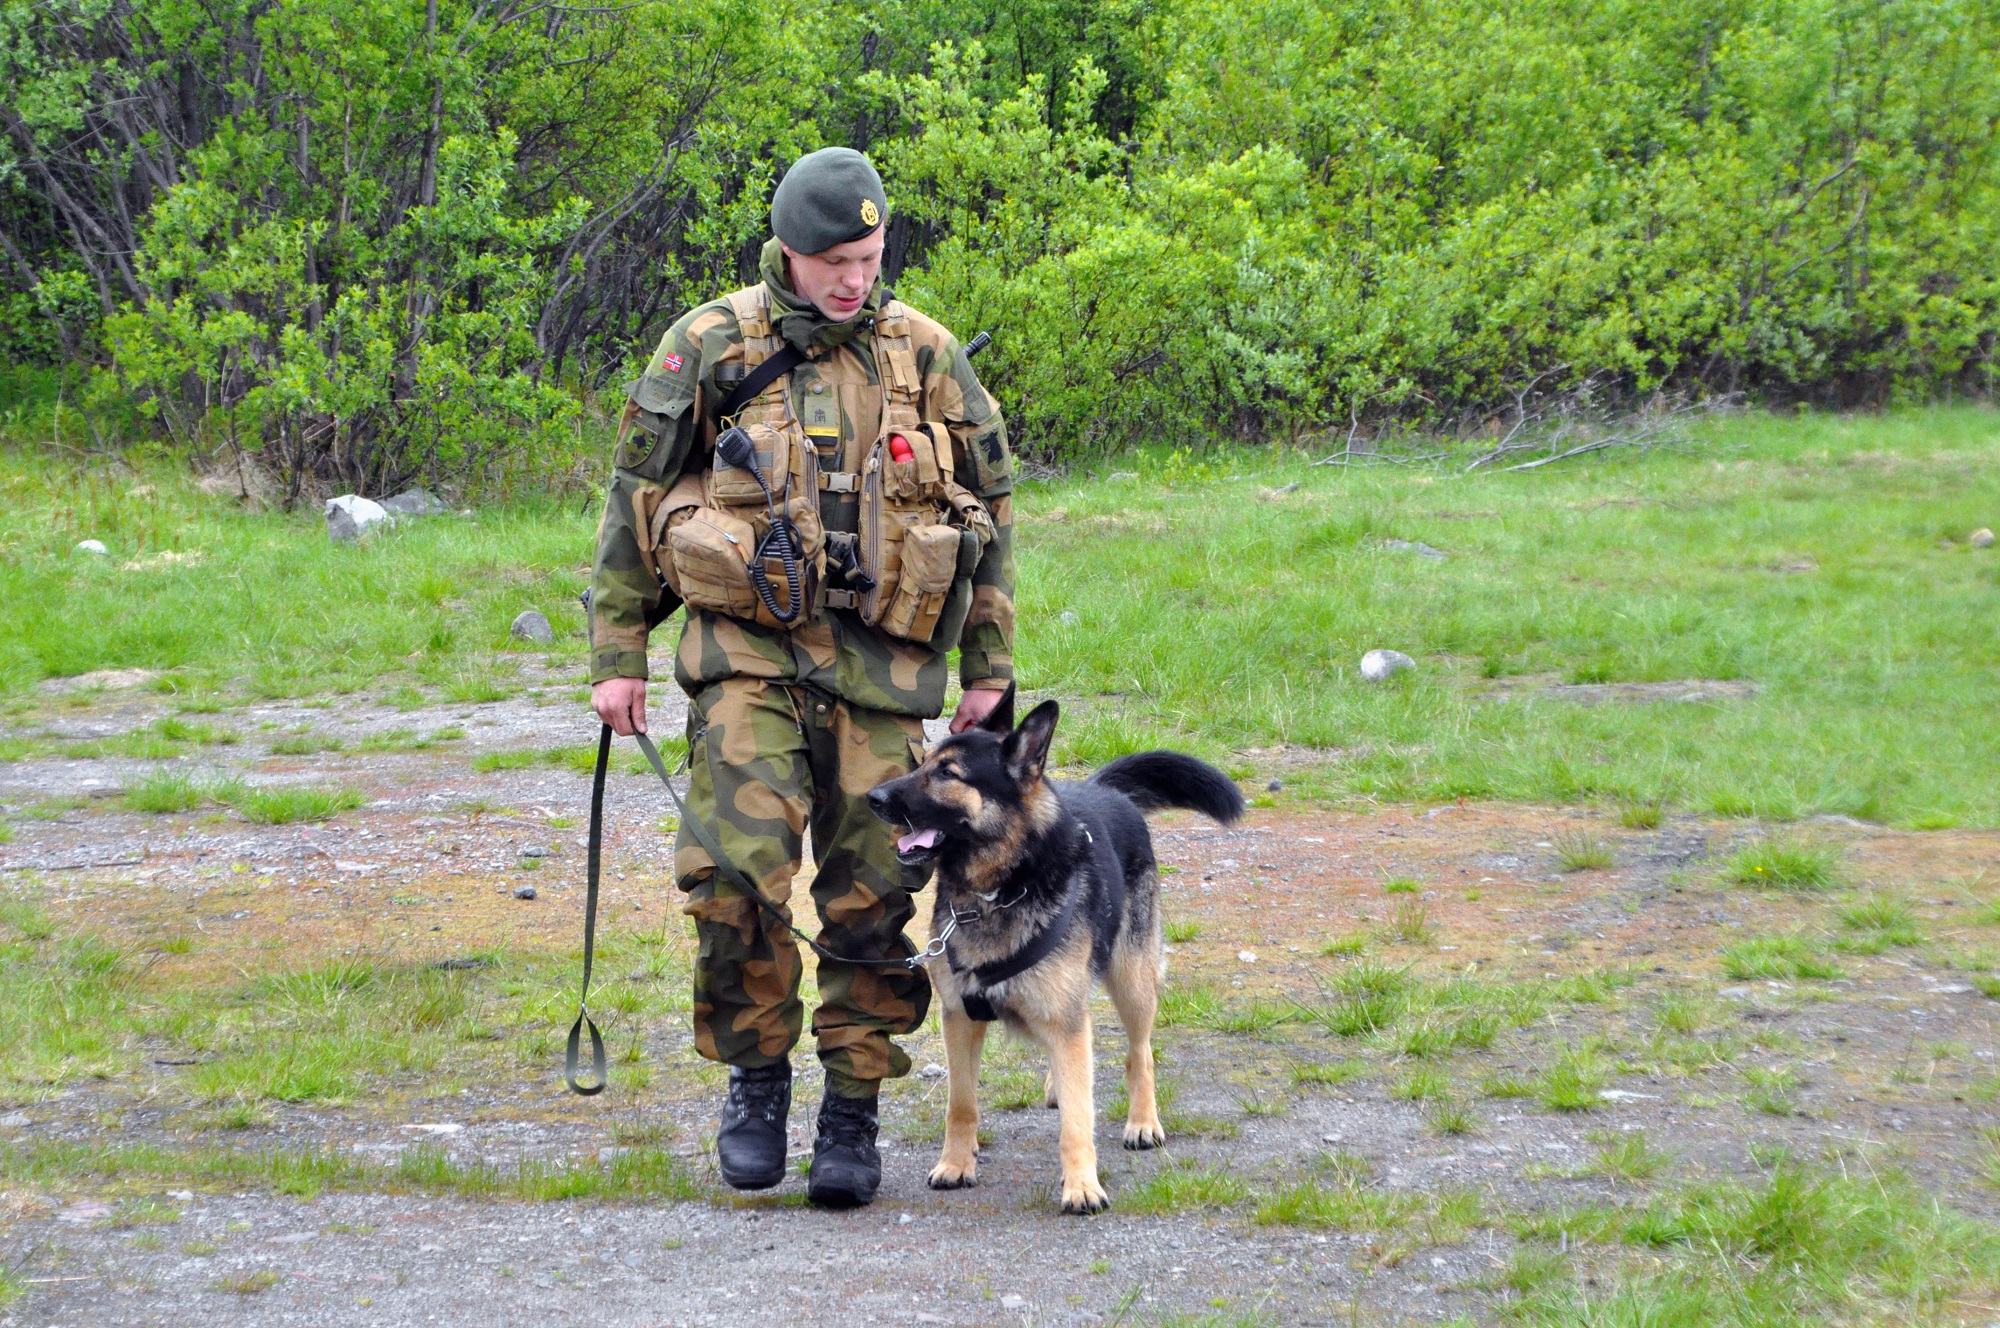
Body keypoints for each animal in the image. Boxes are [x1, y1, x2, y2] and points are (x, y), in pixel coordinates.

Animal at [868, 684, 1240, 1216]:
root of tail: (1105, 789)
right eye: (925, 762)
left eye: (948, 773)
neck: (998, 891)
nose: (871, 797)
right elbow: (962, 1104)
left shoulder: (1066, 1019)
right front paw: (956, 1164)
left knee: (1139, 1053)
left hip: (1131, 981)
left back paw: (1143, 1121)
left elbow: (1078, 1123)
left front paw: (1081, 1185)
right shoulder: (960, 1018)